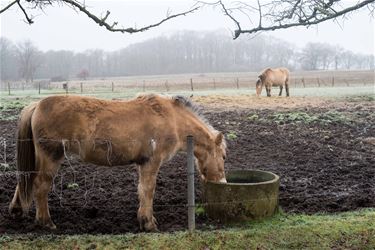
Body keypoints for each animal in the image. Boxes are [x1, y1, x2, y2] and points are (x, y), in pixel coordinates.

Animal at [8, 94, 226, 232]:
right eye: (223, 156)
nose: (223, 183)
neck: (171, 118)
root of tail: (37, 105)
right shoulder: (151, 163)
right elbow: (148, 190)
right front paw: (149, 223)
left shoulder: (142, 164)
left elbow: (141, 191)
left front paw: (144, 219)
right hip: (51, 157)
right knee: (40, 186)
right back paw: (46, 222)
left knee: (26, 181)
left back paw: (17, 210)